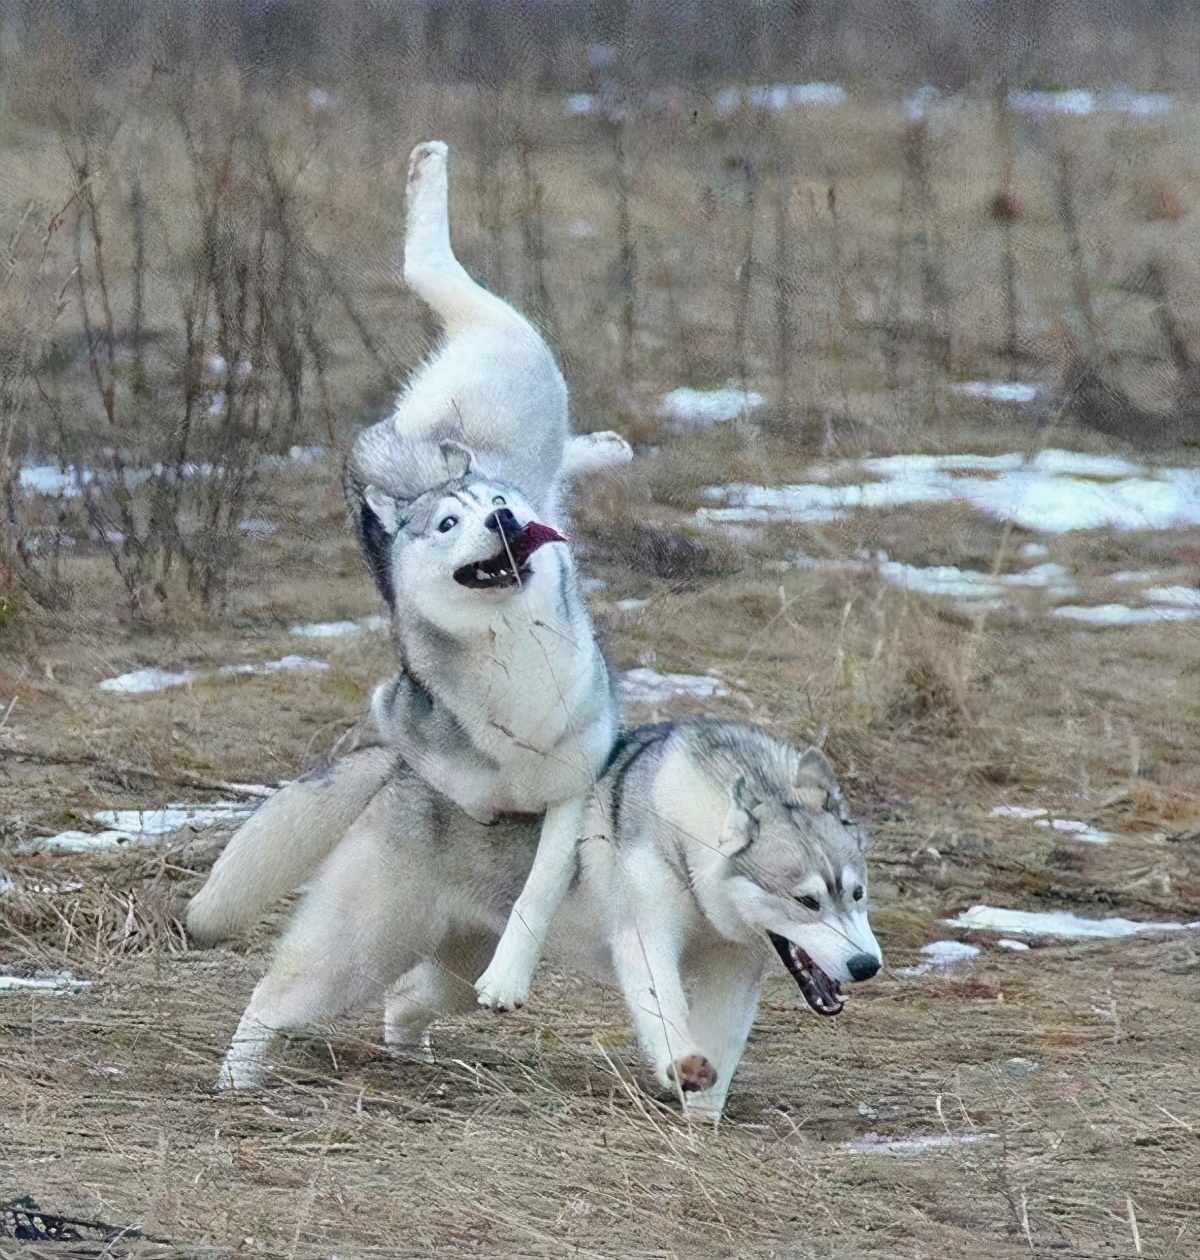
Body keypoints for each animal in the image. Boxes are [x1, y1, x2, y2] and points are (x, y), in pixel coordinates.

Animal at [187, 720, 882, 1123]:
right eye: (807, 902)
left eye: (857, 893)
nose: (867, 965)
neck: (691, 836)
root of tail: (401, 763)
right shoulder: (645, 940)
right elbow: (668, 1014)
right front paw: (678, 1067)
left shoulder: (735, 971)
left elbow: (720, 1048)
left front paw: (700, 1119)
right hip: (360, 949)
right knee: (270, 997)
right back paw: (236, 1082)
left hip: (459, 971)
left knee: (405, 998)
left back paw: (415, 1065)